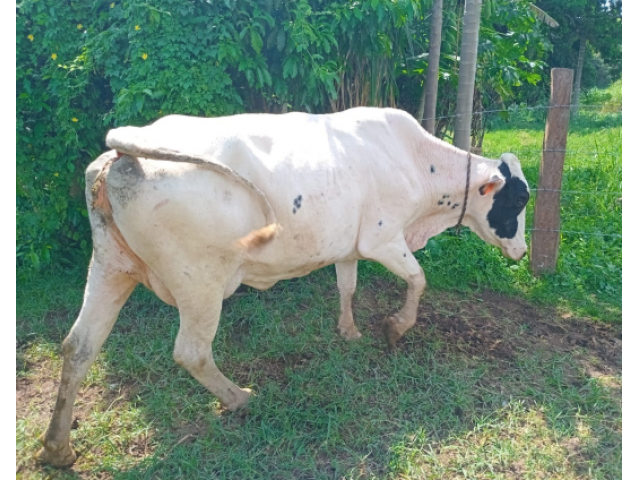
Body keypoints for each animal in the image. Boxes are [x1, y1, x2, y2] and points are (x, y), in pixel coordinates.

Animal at [37, 107, 530, 466]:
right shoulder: (382, 238)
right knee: (191, 352)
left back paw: (57, 447)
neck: (415, 161)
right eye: (517, 200)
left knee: (79, 346)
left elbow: (347, 287)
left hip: (110, 268)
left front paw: (349, 331)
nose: (523, 252)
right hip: (200, 284)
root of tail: (123, 152)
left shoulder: (348, 245)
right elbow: (417, 279)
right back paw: (238, 398)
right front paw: (396, 328)